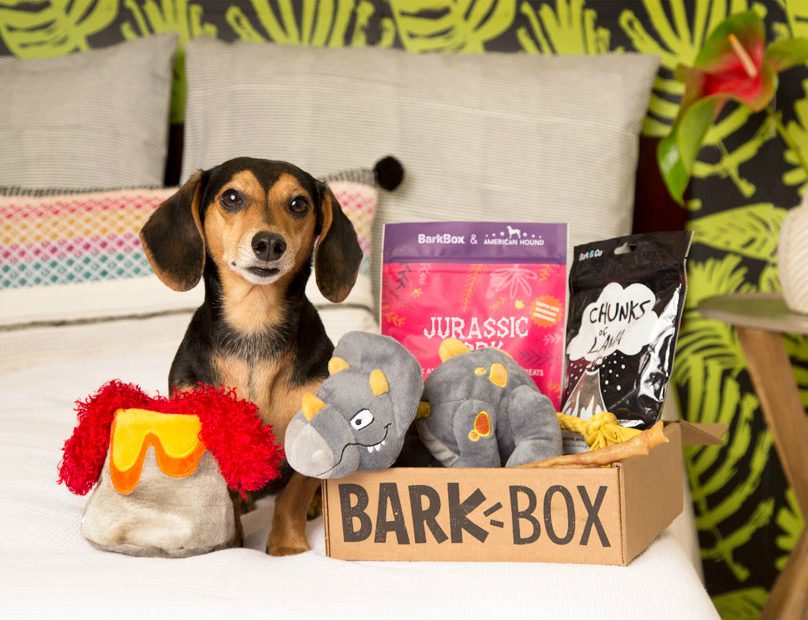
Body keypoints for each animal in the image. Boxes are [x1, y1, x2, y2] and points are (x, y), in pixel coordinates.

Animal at [140, 157, 362, 556]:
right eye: (231, 197)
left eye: (299, 204)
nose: (270, 243)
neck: (254, 325)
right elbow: (225, 496)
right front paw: (230, 542)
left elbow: (292, 495)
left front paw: (287, 546)